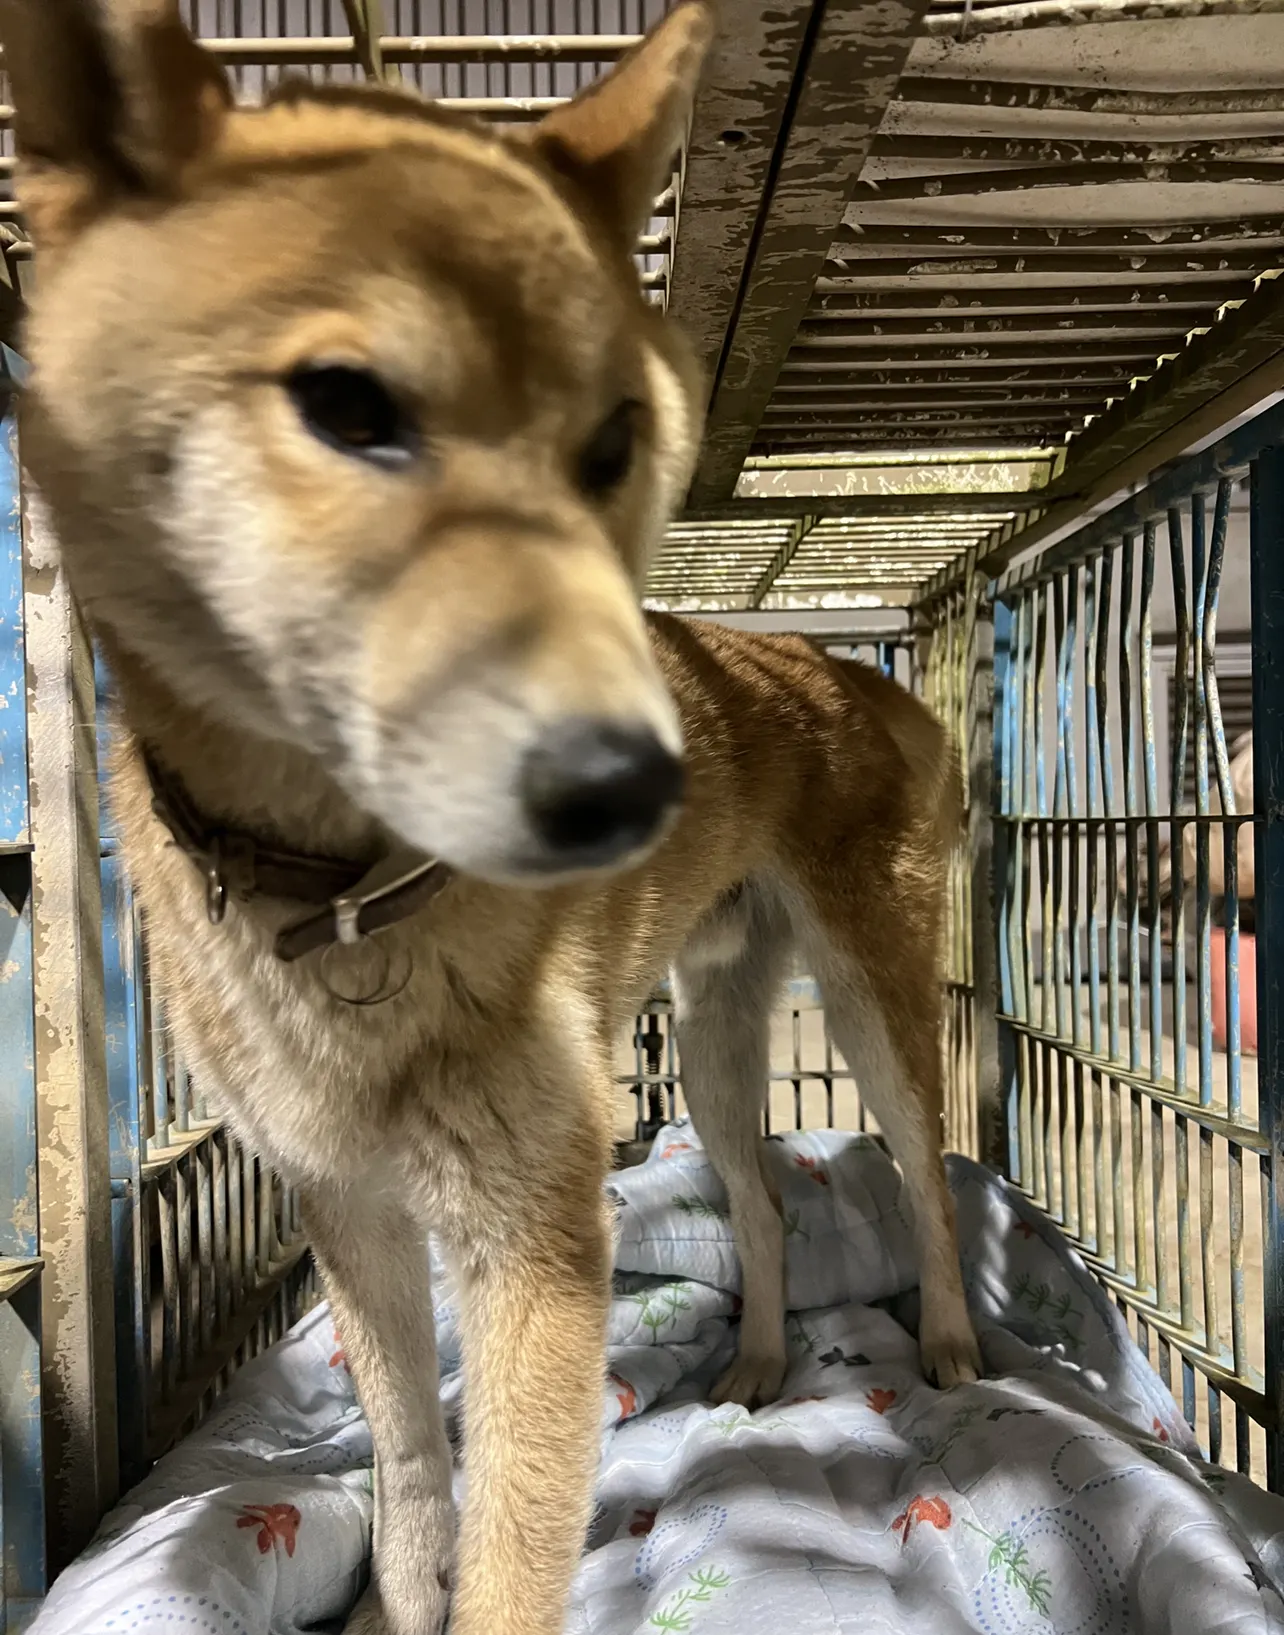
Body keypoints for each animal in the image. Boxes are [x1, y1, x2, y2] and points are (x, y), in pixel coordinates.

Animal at [1, 3, 981, 1632]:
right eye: (347, 406)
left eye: (616, 444)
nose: (639, 780)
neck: (346, 899)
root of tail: (841, 662)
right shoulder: (356, 1218)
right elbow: (410, 1485)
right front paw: (398, 1592)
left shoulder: (540, 1241)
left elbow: (513, 1552)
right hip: (717, 1047)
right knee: (766, 1207)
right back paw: (759, 1364)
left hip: (870, 1012)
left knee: (928, 1179)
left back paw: (961, 1349)